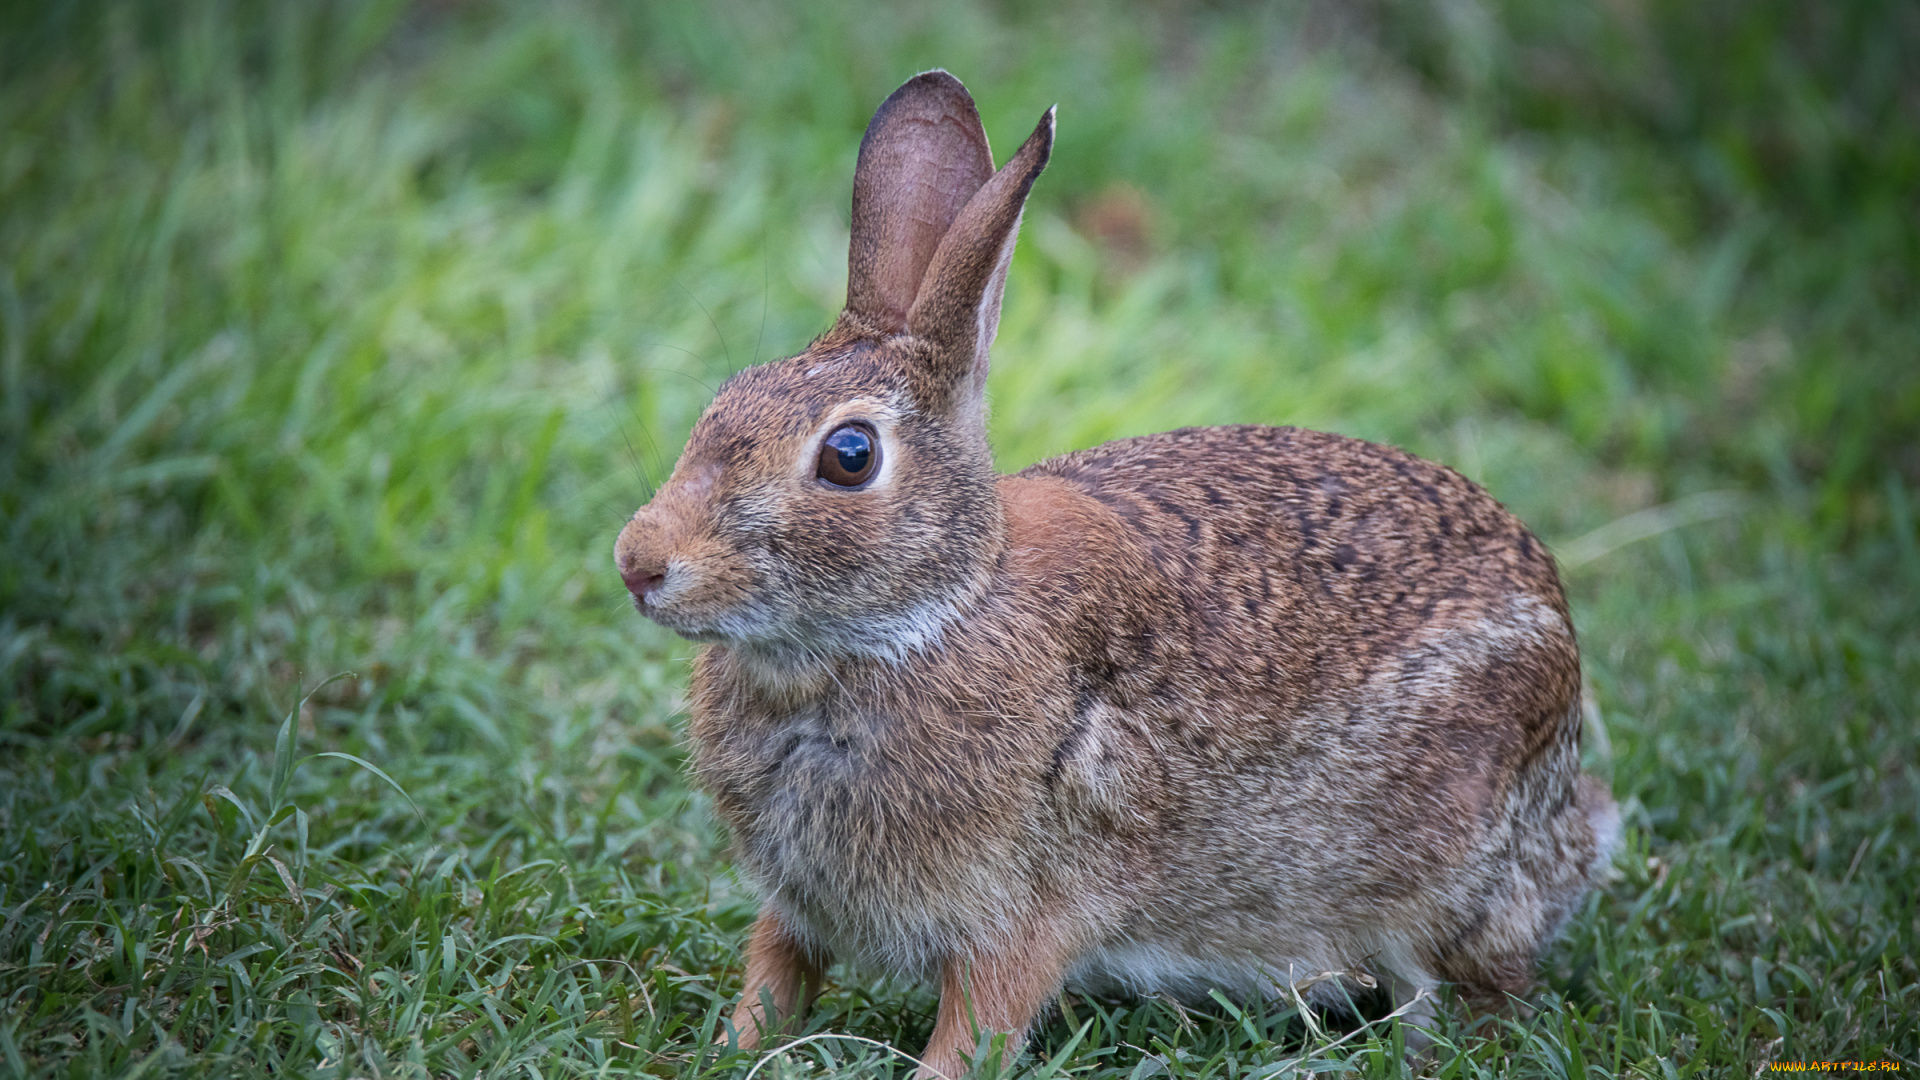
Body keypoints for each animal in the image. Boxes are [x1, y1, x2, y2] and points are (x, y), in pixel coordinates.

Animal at [614, 69, 1620, 1076]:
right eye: (726, 398)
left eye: (850, 456)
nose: (638, 564)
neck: (928, 617)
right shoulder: (798, 904)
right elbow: (773, 974)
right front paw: (727, 1045)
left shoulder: (1024, 915)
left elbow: (976, 1029)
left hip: (1447, 885)